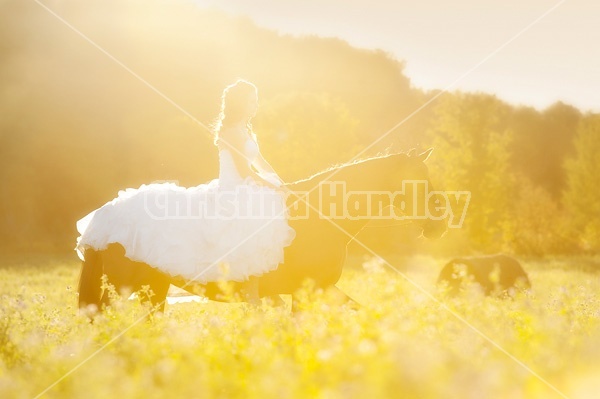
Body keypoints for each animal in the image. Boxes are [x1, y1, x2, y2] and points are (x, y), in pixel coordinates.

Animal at [77, 149, 446, 312]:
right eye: (419, 180)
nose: (439, 223)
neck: (319, 217)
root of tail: (102, 218)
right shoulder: (308, 292)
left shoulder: (320, 290)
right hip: (123, 288)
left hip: (153, 289)